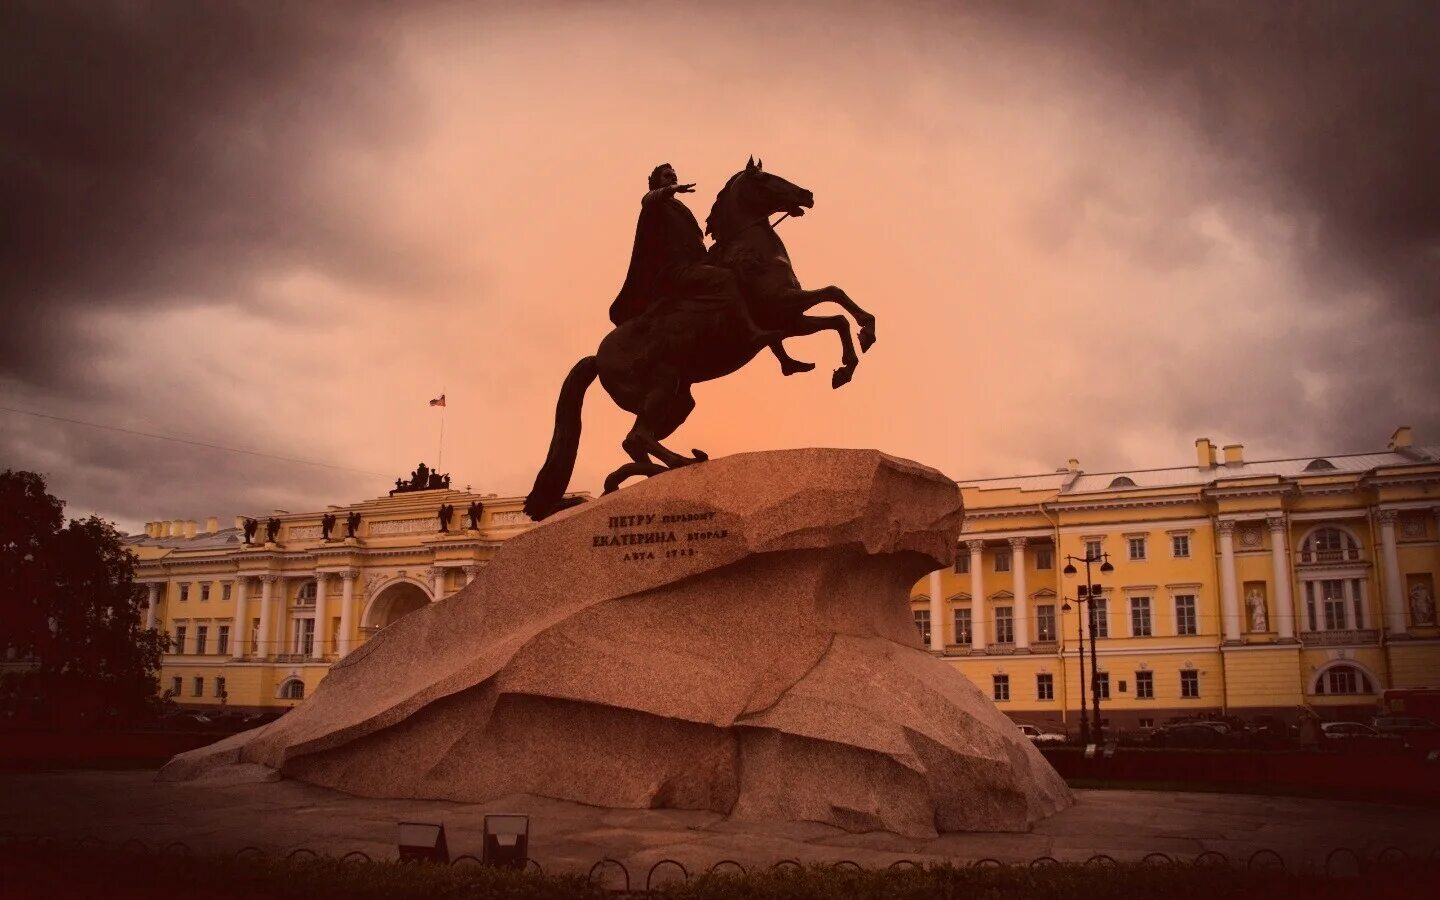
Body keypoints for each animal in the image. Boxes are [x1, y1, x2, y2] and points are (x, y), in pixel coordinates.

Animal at [524, 156, 869, 518]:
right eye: (766, 179)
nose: (807, 194)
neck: (751, 250)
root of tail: (596, 357)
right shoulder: (783, 305)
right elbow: (834, 297)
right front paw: (859, 345)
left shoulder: (791, 319)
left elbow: (836, 314)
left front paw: (846, 360)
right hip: (661, 389)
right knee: (637, 437)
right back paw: (680, 462)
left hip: (678, 402)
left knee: (637, 442)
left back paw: (645, 473)